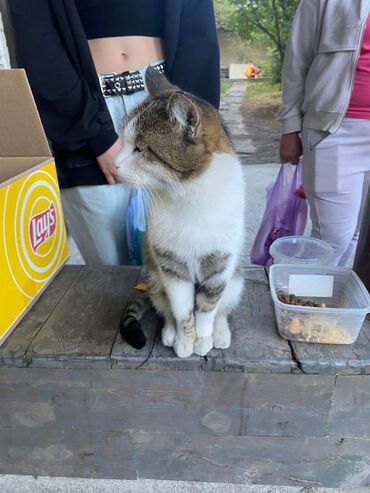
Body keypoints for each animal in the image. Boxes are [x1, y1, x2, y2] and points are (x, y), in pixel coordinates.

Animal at [114, 66, 244, 358]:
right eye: (123, 142)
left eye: (140, 149)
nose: (113, 165)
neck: (186, 196)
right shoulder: (170, 265)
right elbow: (183, 308)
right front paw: (185, 339)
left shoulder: (220, 264)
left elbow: (207, 307)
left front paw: (203, 339)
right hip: (153, 277)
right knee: (164, 306)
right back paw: (170, 331)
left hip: (237, 280)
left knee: (224, 307)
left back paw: (220, 332)